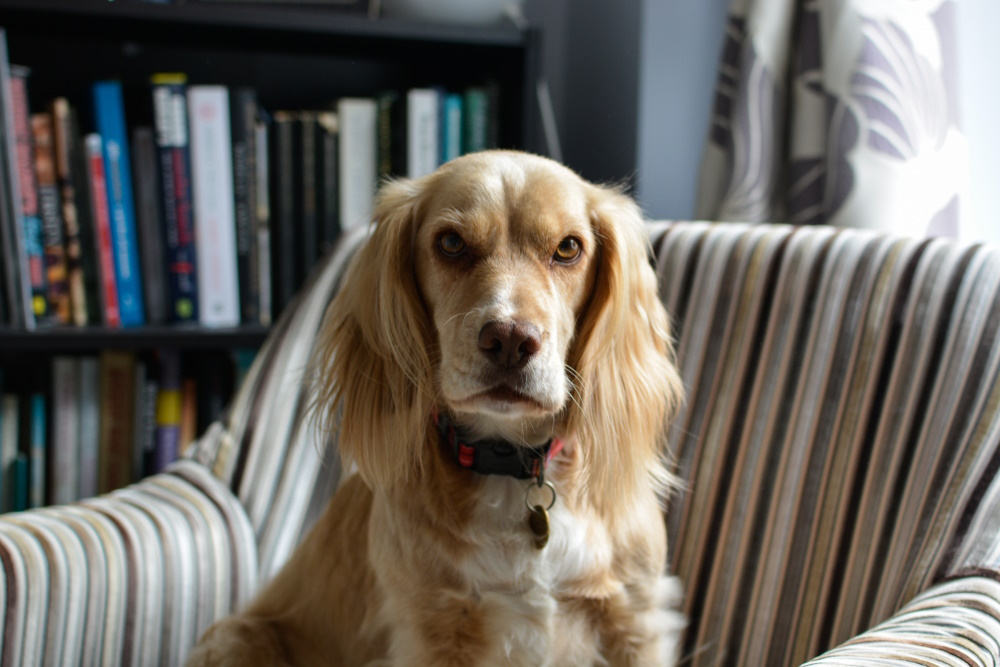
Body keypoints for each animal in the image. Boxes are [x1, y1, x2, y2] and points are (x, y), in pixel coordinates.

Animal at [186, 151, 688, 667]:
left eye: (568, 248)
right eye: (450, 243)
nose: (510, 340)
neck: (509, 470)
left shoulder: (635, 618)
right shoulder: (432, 629)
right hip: (236, 637)